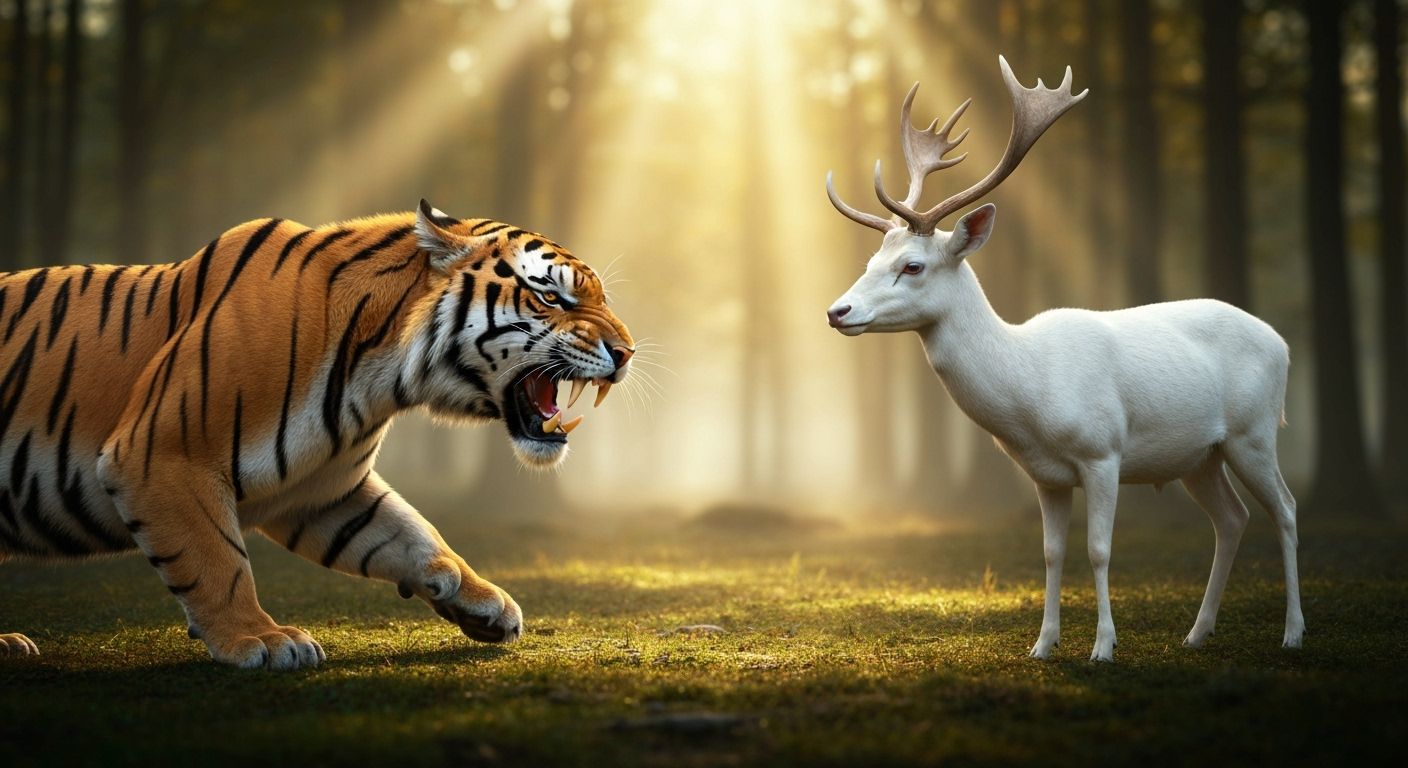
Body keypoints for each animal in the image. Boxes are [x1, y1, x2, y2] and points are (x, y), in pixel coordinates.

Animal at [0, 200, 634, 669]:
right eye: (550, 296)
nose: (627, 352)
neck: (381, 375)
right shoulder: (161, 455)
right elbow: (217, 558)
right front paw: (259, 640)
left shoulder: (323, 490)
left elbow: (414, 535)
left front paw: (482, 603)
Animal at [824, 57, 1304, 662]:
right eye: (869, 261)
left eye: (912, 266)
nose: (837, 311)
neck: (1031, 394)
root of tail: (1281, 342)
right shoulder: (1045, 476)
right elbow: (1051, 553)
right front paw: (1043, 645)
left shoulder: (1103, 450)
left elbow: (1098, 549)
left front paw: (1103, 647)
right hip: (1200, 454)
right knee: (1232, 519)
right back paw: (1197, 632)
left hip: (1253, 431)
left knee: (1285, 510)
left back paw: (1293, 632)